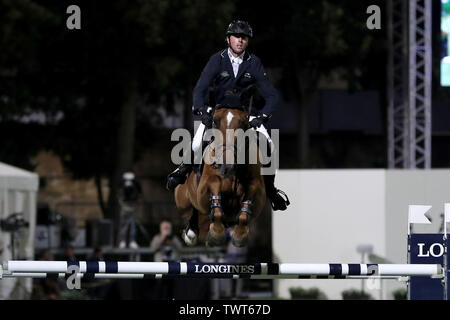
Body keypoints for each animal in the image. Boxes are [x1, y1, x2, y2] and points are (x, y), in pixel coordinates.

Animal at [175, 106, 268, 246]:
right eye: (215, 121)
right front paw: (216, 235)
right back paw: (191, 232)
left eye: (243, 123)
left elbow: (245, 209)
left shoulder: (256, 184)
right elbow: (215, 187)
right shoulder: (205, 185)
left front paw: (239, 235)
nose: (227, 166)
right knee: (191, 208)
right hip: (182, 200)